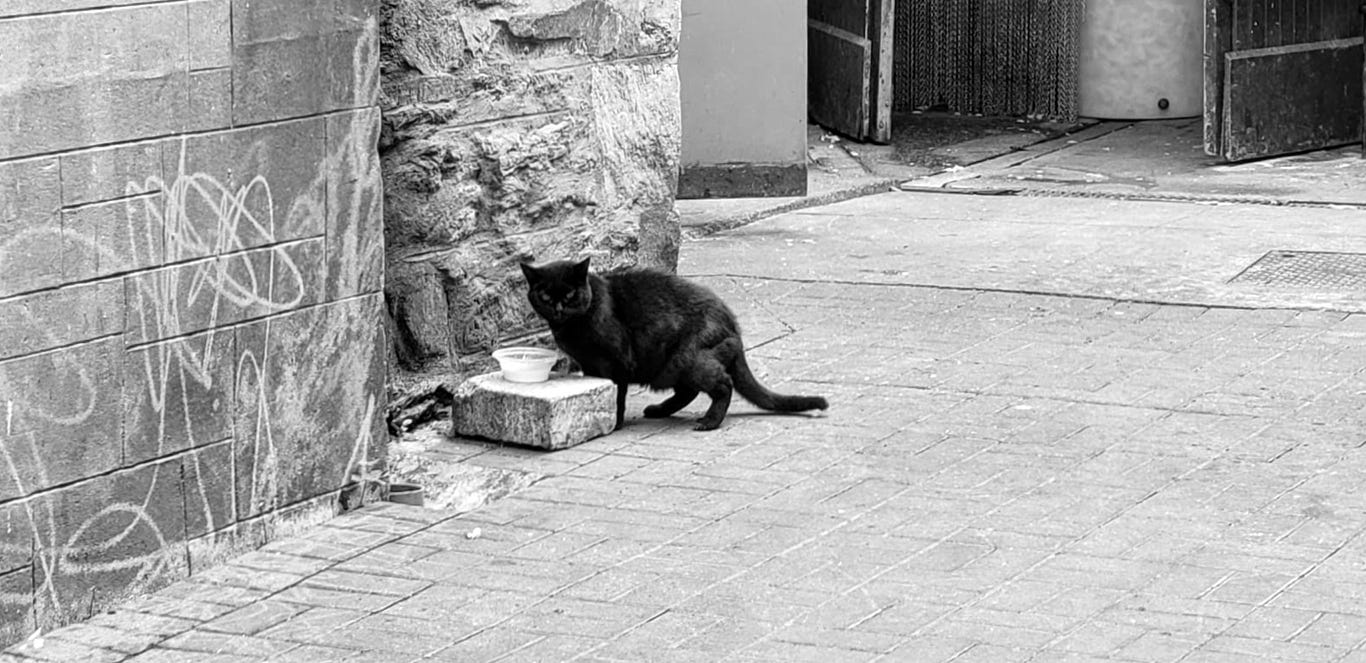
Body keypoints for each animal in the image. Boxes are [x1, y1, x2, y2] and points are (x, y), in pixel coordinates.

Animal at [516, 255, 825, 431]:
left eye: (570, 296)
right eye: (545, 296)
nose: (557, 308)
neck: (571, 327)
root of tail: (732, 325)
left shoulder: (616, 364)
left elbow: (617, 396)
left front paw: (614, 423)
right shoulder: (590, 366)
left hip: (691, 360)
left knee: (722, 386)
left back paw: (709, 422)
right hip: (673, 366)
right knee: (688, 392)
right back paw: (659, 410)